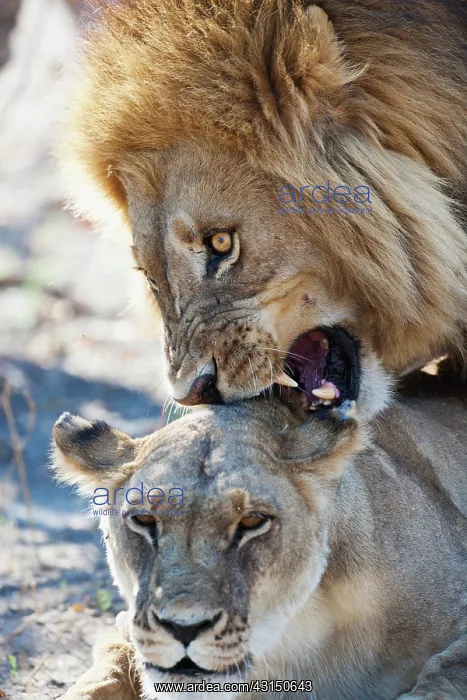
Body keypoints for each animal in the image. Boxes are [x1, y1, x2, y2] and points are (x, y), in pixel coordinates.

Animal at [52, 368, 467, 700]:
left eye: (252, 522)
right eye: (143, 520)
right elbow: (103, 673)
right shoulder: (125, 629)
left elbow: (439, 680)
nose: (183, 627)